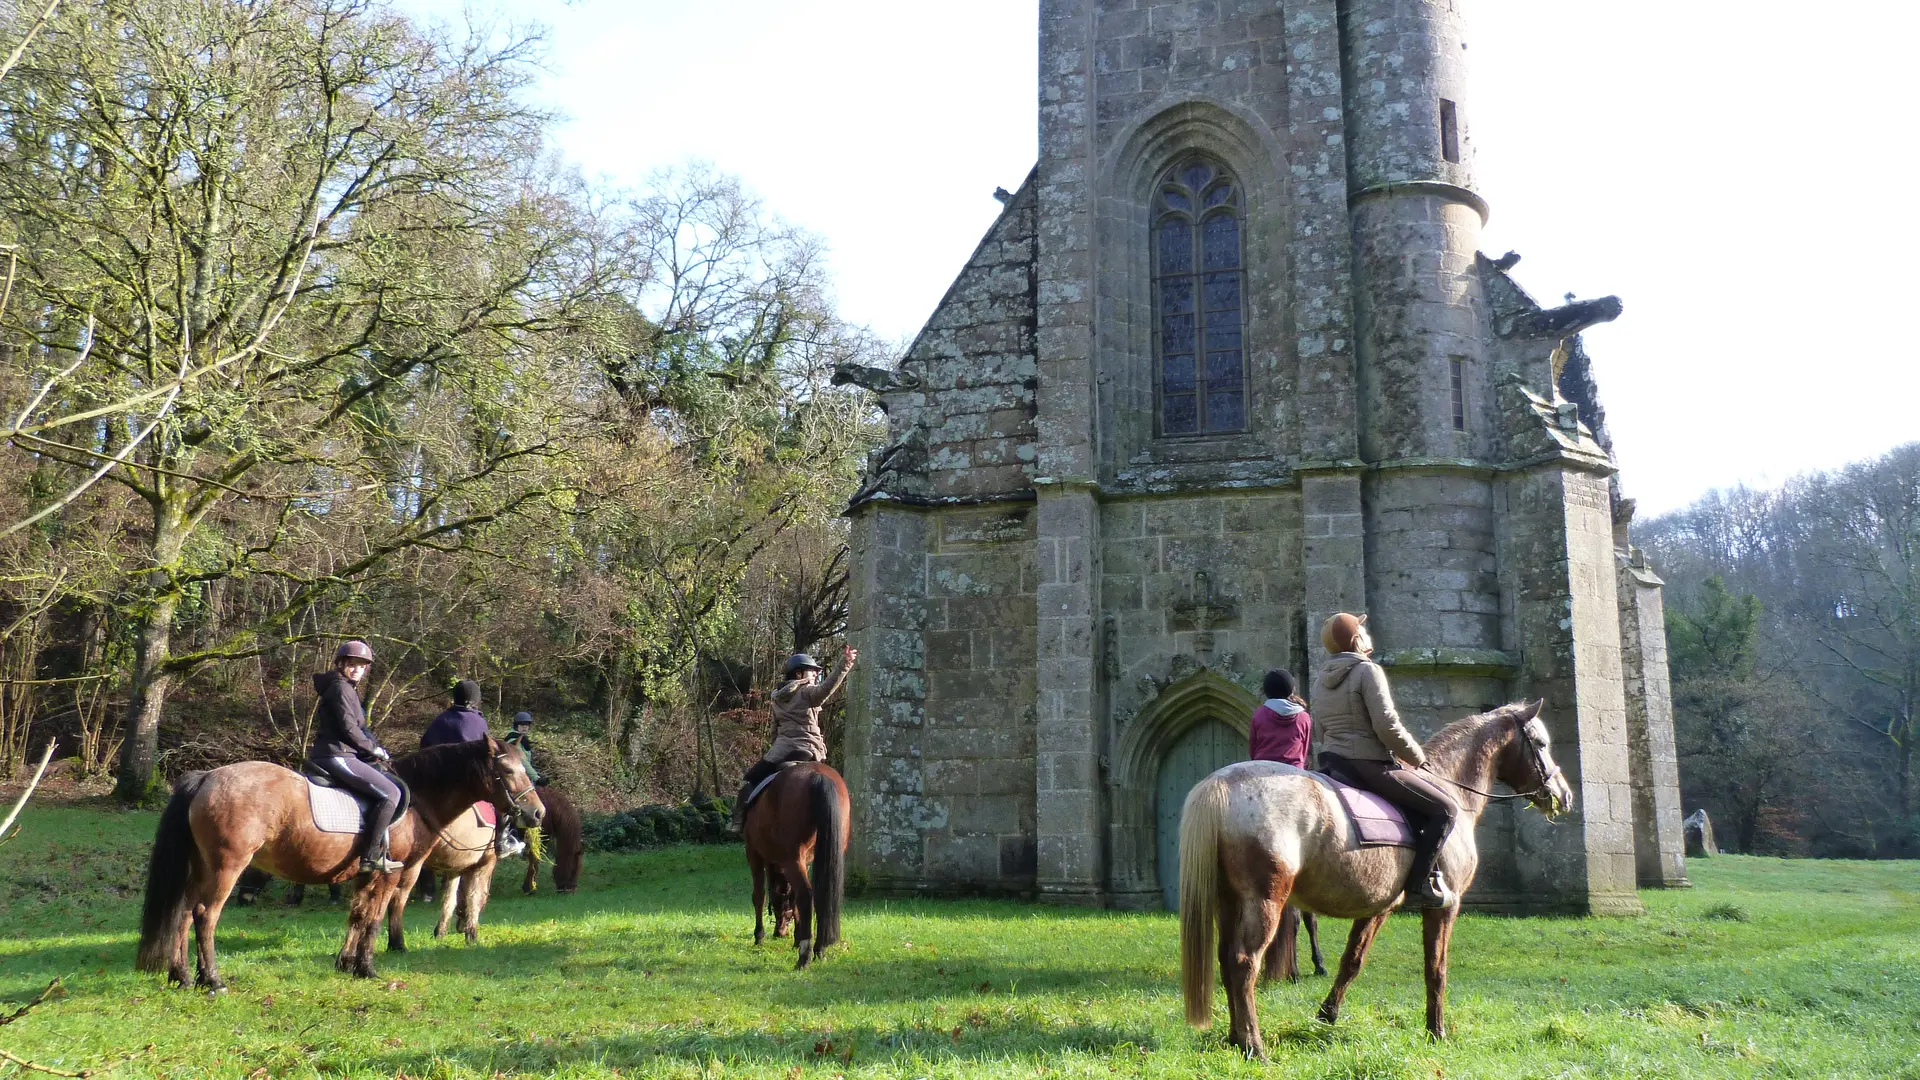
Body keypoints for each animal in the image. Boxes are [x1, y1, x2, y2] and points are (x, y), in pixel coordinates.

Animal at [137, 734, 541, 991]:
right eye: (507, 771)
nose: (537, 813)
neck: (418, 800)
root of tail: (207, 777)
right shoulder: (391, 876)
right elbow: (376, 918)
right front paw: (367, 967)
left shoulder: (366, 875)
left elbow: (358, 915)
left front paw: (345, 963)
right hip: (227, 867)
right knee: (205, 915)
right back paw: (212, 979)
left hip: (201, 868)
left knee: (183, 912)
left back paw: (182, 976)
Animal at [741, 757, 848, 968]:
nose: (780, 932)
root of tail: (818, 775)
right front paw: (797, 939)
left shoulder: (754, 853)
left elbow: (759, 895)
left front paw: (759, 936)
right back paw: (819, 949)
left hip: (791, 858)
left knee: (806, 895)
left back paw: (804, 957)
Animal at [1182, 699, 1574, 1053]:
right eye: (1540, 743)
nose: (1564, 795)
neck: (1451, 786)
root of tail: (1223, 784)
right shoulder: (1445, 906)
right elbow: (1436, 968)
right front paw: (1436, 1032)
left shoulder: (1378, 908)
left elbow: (1352, 961)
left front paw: (1326, 1016)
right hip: (1264, 901)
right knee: (1244, 963)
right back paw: (1254, 1045)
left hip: (1229, 901)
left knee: (1227, 960)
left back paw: (1236, 1038)